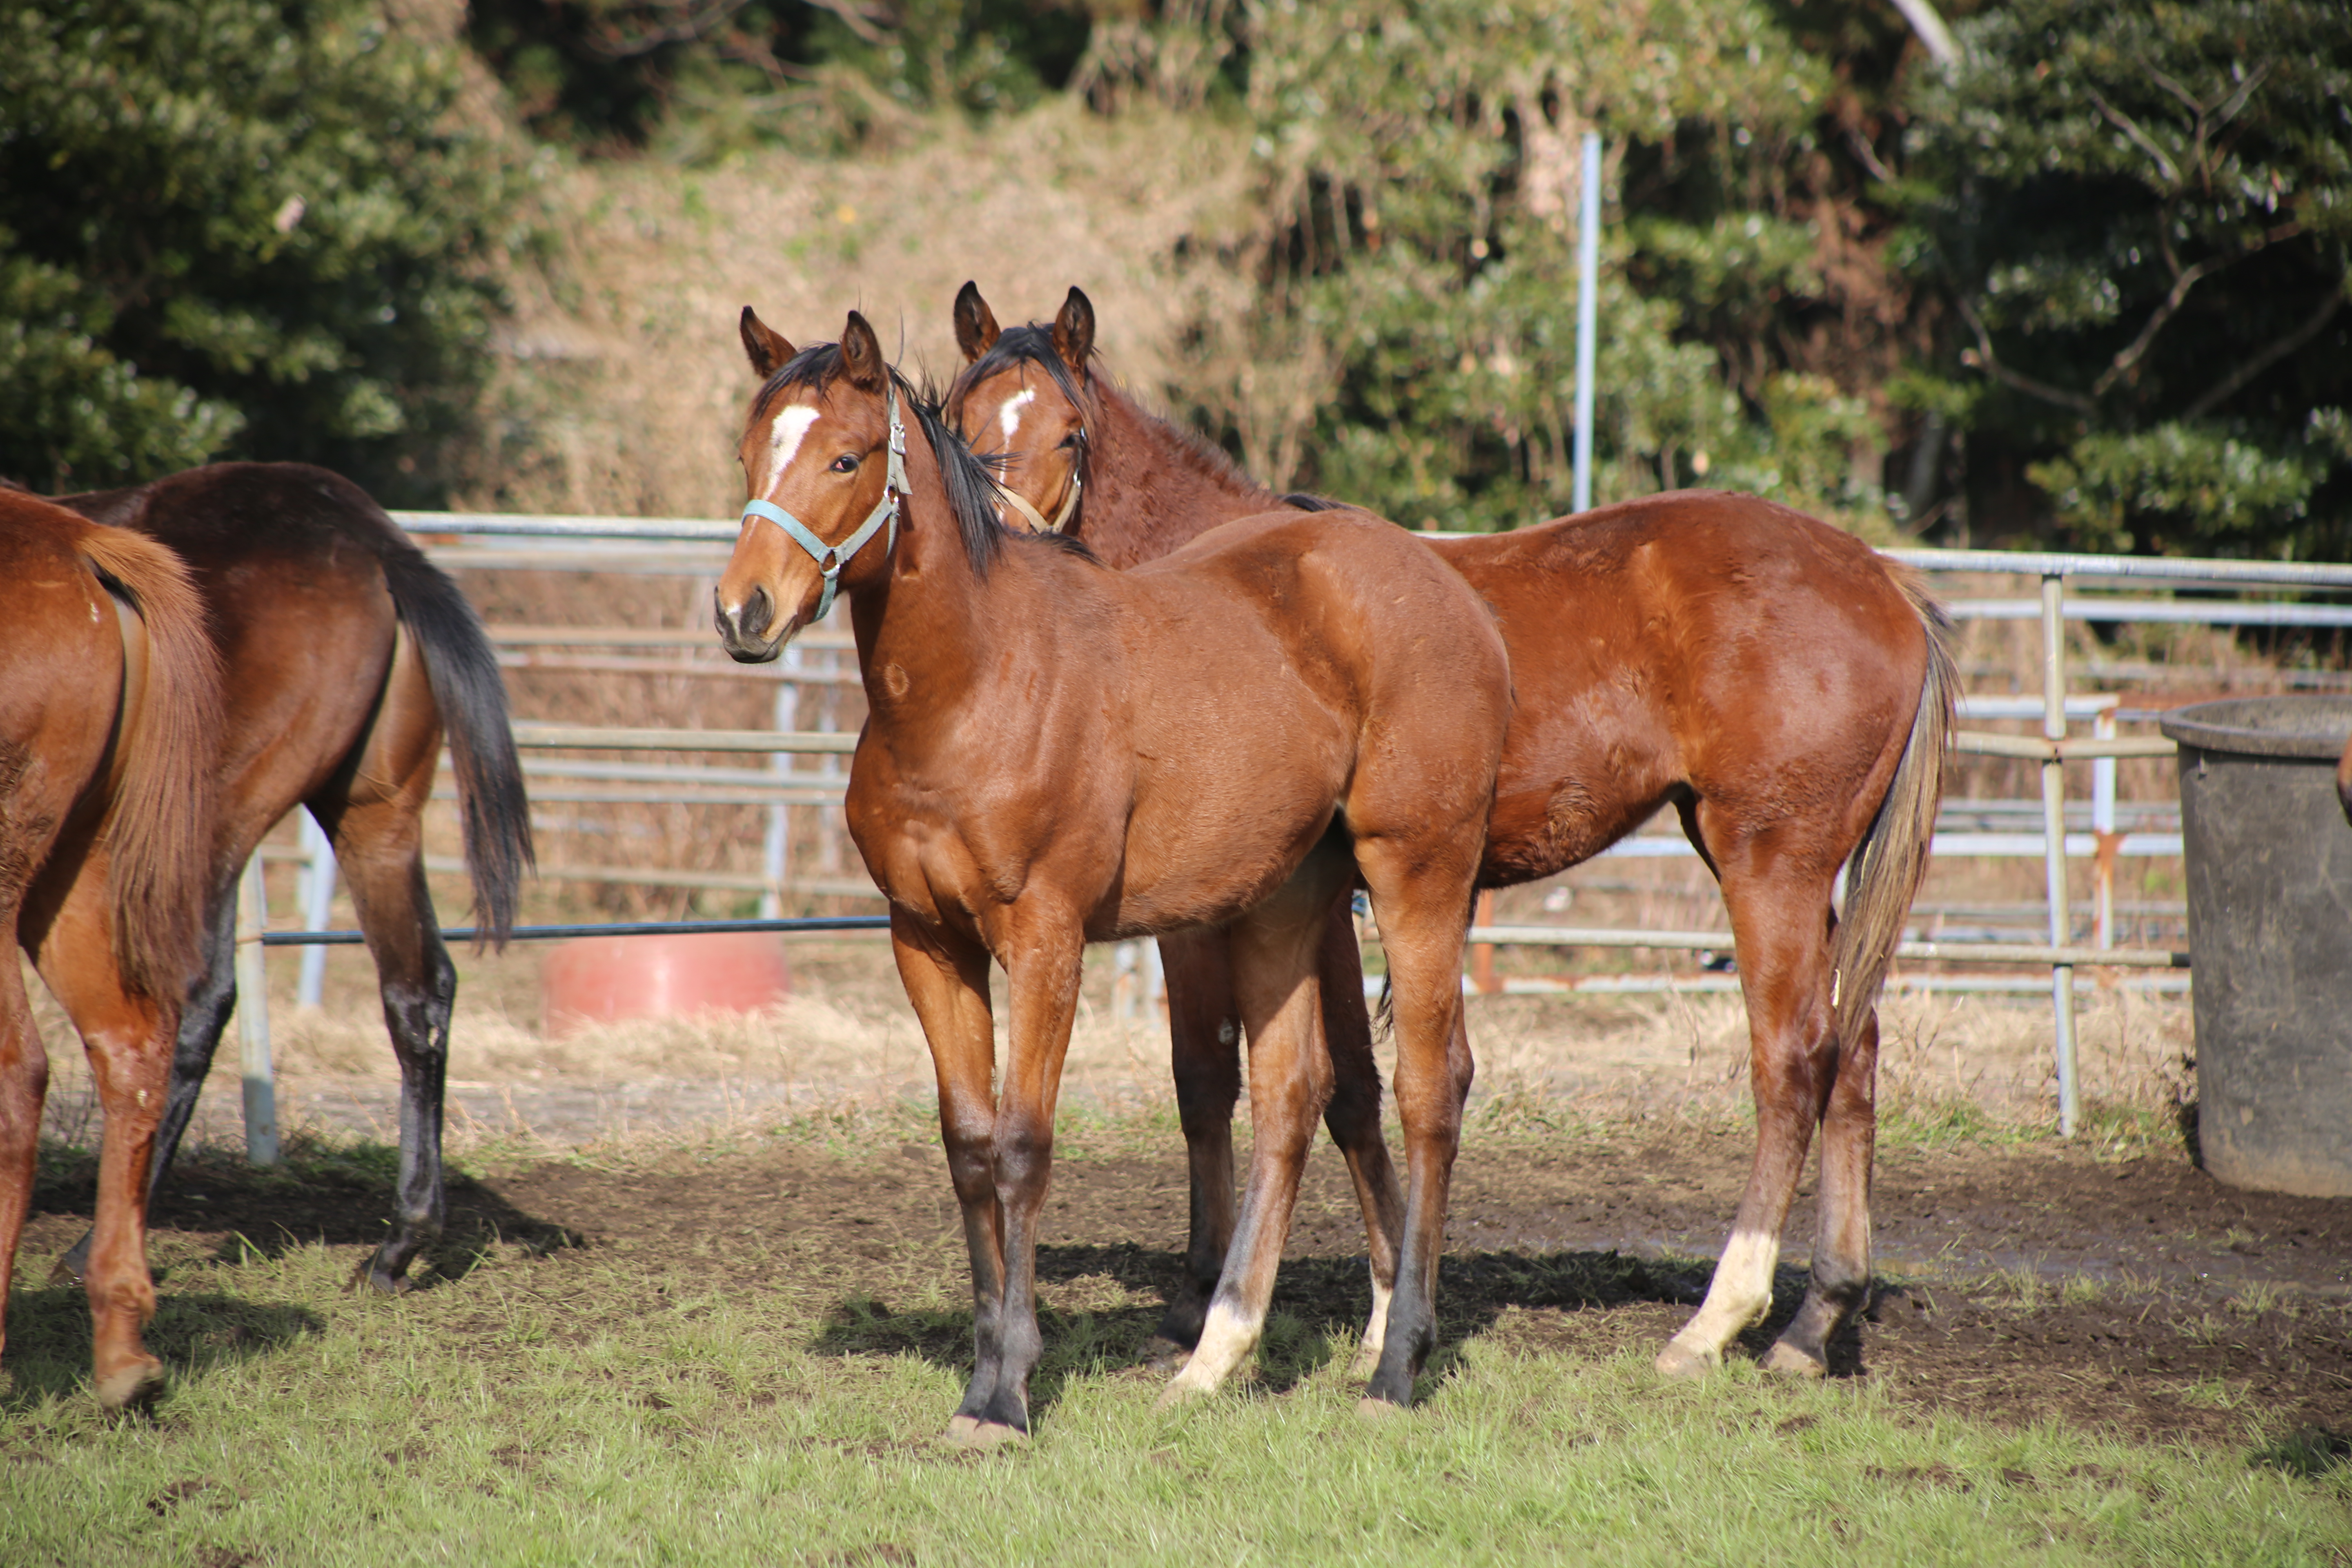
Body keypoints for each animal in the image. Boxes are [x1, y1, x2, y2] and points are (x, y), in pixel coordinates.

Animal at [706, 303, 1505, 1439]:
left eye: (845, 457)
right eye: (749, 454)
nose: (745, 611)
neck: (974, 685)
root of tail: (1448, 589)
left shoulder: (1045, 939)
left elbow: (1023, 1146)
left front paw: (1006, 1391)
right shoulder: (927, 941)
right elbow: (968, 1146)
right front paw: (983, 1372)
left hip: (1416, 878)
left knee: (1429, 1091)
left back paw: (1396, 1365)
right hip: (1284, 901)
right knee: (1292, 1095)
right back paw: (1217, 1356)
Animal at [945, 285, 1957, 1382]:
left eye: (1069, 432)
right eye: (956, 423)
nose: (1001, 551)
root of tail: (1879, 579)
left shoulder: (1229, 916)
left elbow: (1246, 1080)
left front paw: (1230, 1304)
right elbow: (1318, 1084)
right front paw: (1378, 1307)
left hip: (1767, 862)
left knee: (1790, 1059)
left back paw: (1714, 1322)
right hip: (1797, 873)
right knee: (1852, 1048)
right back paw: (1817, 1319)